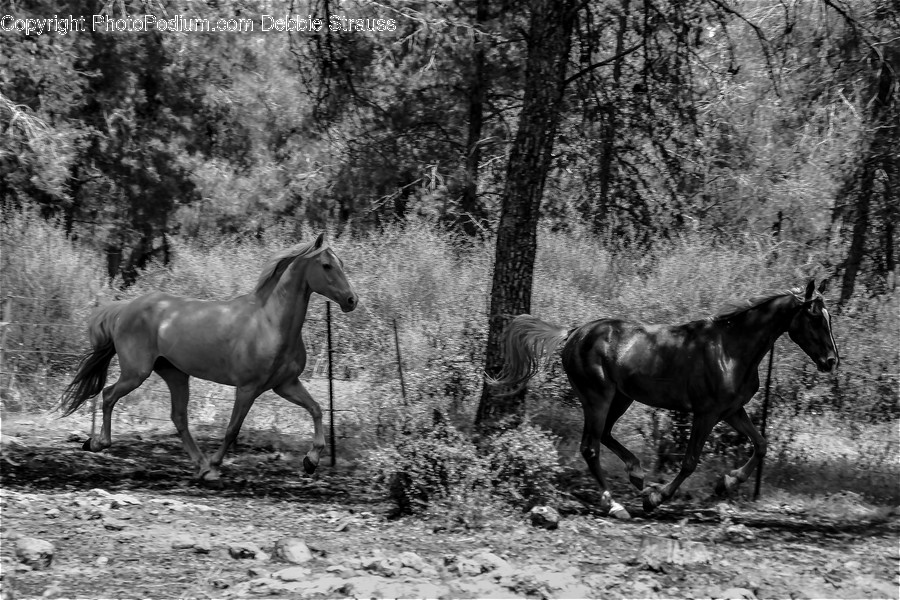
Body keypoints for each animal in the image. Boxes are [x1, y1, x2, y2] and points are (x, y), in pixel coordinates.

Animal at [60, 233, 357, 482]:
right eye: (327, 265)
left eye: (341, 262)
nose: (352, 300)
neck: (270, 323)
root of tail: (125, 309)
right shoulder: (247, 388)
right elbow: (232, 429)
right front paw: (216, 466)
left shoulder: (285, 384)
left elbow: (317, 409)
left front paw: (311, 460)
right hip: (137, 373)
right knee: (109, 394)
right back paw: (98, 443)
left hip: (175, 374)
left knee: (178, 418)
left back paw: (199, 465)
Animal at [490, 279, 839, 518]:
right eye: (814, 317)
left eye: (829, 317)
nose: (832, 361)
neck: (731, 350)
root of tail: (575, 332)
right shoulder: (706, 413)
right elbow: (690, 460)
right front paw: (656, 498)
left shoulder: (732, 410)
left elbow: (761, 444)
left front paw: (726, 482)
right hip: (597, 397)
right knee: (590, 446)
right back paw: (615, 503)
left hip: (622, 398)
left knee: (604, 436)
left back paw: (637, 475)